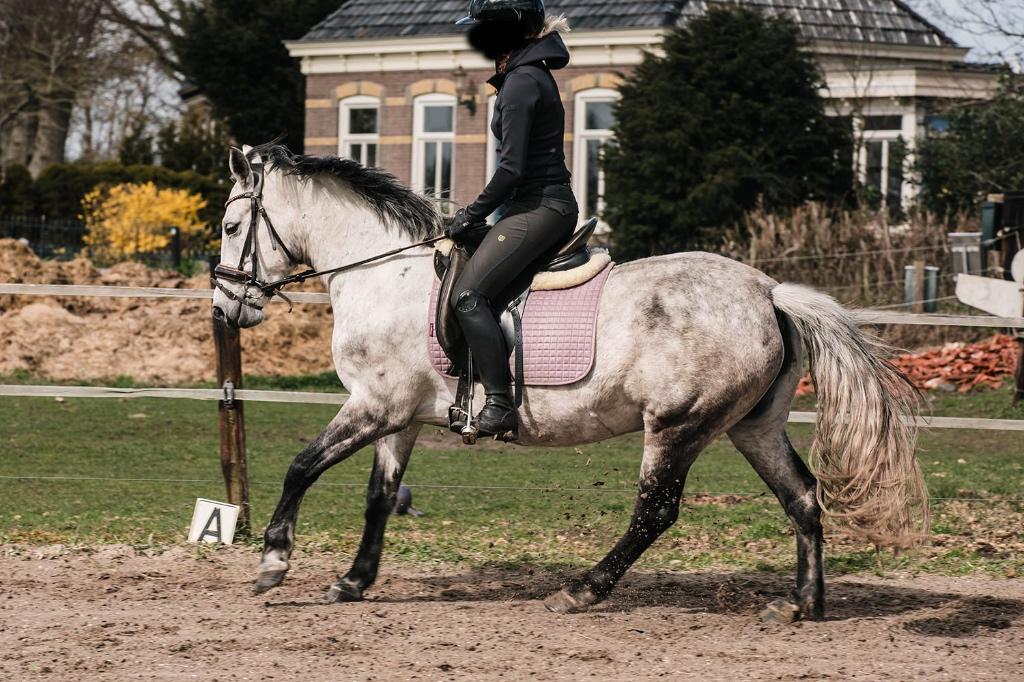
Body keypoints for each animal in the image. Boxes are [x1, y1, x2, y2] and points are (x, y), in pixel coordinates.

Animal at [211, 143, 927, 622]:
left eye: (229, 227)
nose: (225, 309)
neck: (382, 275)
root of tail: (771, 293)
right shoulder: (401, 416)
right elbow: (379, 497)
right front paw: (354, 581)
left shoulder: (373, 405)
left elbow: (302, 467)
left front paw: (273, 563)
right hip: (753, 427)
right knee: (802, 497)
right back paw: (803, 604)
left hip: (677, 426)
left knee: (655, 512)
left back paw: (584, 589)